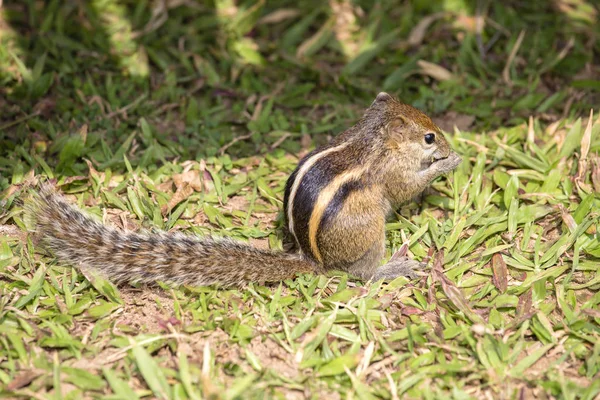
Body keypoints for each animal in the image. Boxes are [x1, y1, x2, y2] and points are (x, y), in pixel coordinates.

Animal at [28, 93, 462, 288]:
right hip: (369, 233)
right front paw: (448, 162)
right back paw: (393, 267)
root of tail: (311, 259)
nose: (445, 143)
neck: (373, 137)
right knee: (362, 274)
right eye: (428, 137)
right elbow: (406, 188)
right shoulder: (391, 174)